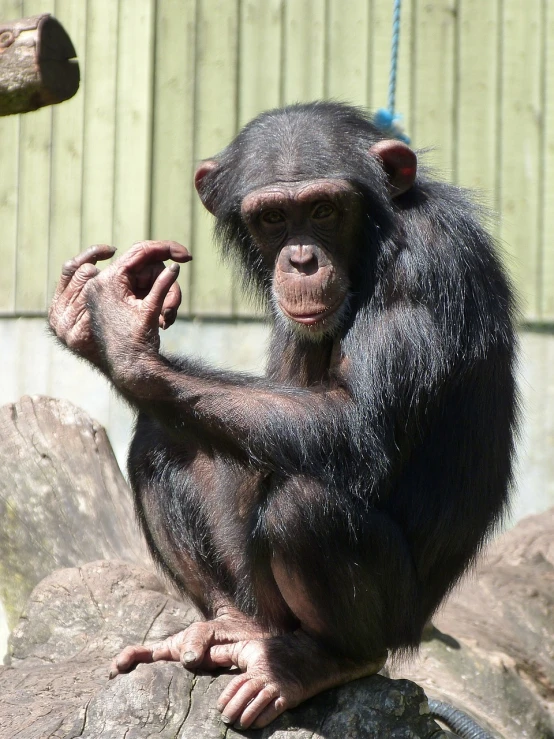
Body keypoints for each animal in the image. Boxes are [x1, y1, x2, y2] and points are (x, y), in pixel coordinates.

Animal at [49, 101, 516, 732]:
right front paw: (88, 314)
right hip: (260, 599)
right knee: (161, 438)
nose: (300, 258)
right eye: (273, 217)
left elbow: (355, 424)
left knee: (303, 507)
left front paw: (122, 338)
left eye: (323, 210)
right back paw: (231, 625)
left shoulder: (426, 265)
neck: (373, 242)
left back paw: (322, 662)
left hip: (397, 626)